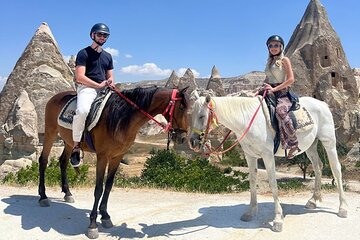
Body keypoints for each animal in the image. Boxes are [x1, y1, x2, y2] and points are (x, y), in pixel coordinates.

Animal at [38, 86, 190, 238]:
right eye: (182, 107)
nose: (182, 138)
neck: (121, 117)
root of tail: (55, 97)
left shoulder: (117, 157)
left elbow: (109, 186)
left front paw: (105, 215)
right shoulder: (102, 157)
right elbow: (98, 189)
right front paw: (92, 224)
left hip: (69, 142)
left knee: (63, 162)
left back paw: (67, 193)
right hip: (50, 133)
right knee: (43, 160)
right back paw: (43, 196)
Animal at [190, 94, 348, 232]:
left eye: (202, 116)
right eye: (191, 115)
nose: (192, 142)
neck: (247, 120)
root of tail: (323, 104)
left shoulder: (267, 155)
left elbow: (272, 183)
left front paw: (277, 220)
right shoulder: (250, 156)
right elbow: (252, 181)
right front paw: (250, 212)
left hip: (329, 142)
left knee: (336, 169)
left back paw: (343, 208)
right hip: (310, 146)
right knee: (318, 167)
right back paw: (313, 201)